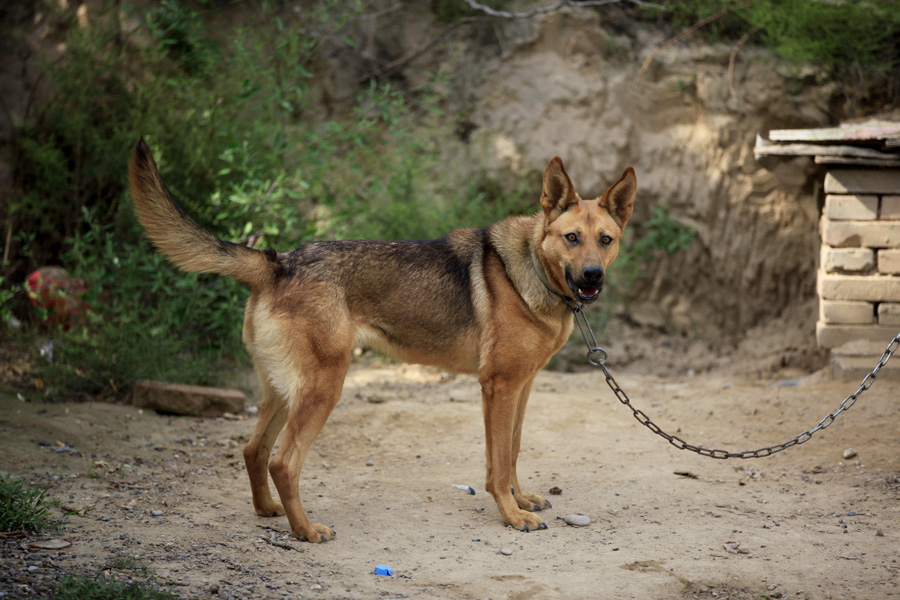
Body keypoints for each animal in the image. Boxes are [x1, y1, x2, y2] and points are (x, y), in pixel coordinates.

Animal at [126, 141, 636, 544]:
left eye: (605, 240)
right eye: (571, 238)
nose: (593, 277)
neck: (530, 268)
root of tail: (278, 262)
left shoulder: (521, 388)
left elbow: (510, 453)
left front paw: (522, 500)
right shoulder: (499, 388)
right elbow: (496, 465)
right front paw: (511, 516)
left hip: (282, 391)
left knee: (254, 451)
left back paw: (270, 512)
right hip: (324, 387)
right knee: (284, 461)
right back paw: (305, 531)